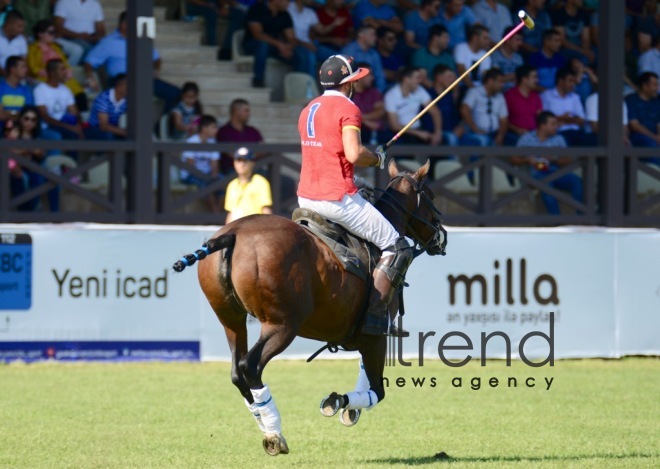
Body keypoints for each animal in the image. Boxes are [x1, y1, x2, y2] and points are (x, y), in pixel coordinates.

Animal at [173, 160, 446, 454]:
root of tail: (232, 235)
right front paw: (340, 403)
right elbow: (377, 390)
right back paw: (274, 433)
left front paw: (347, 408)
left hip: (231, 320)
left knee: (237, 372)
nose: (442, 237)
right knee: (250, 366)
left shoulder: (365, 336)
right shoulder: (374, 332)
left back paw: (263, 422)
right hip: (282, 324)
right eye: (430, 195)